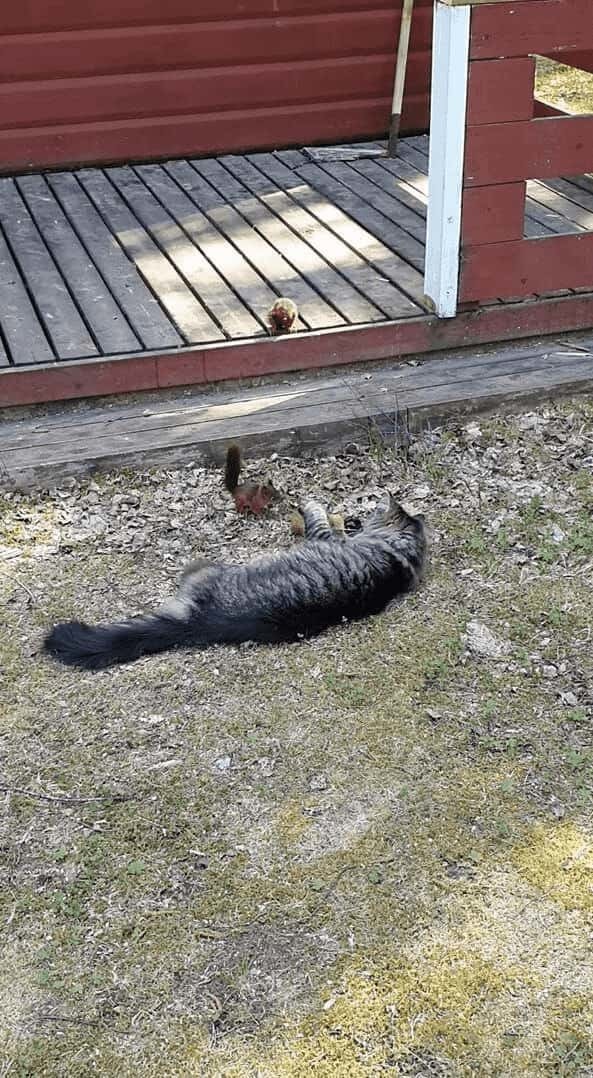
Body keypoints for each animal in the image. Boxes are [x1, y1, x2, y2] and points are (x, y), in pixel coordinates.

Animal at [45, 493, 426, 668]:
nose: (360, 515)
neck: (399, 552)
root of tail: (198, 623)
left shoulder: (325, 539)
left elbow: (318, 518)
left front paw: (313, 505)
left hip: (204, 569)